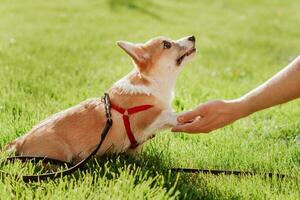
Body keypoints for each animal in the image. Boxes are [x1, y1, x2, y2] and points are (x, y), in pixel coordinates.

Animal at [5, 35, 197, 162]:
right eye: (167, 44)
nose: (192, 37)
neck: (152, 82)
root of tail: (19, 142)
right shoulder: (152, 117)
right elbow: (173, 115)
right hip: (58, 155)